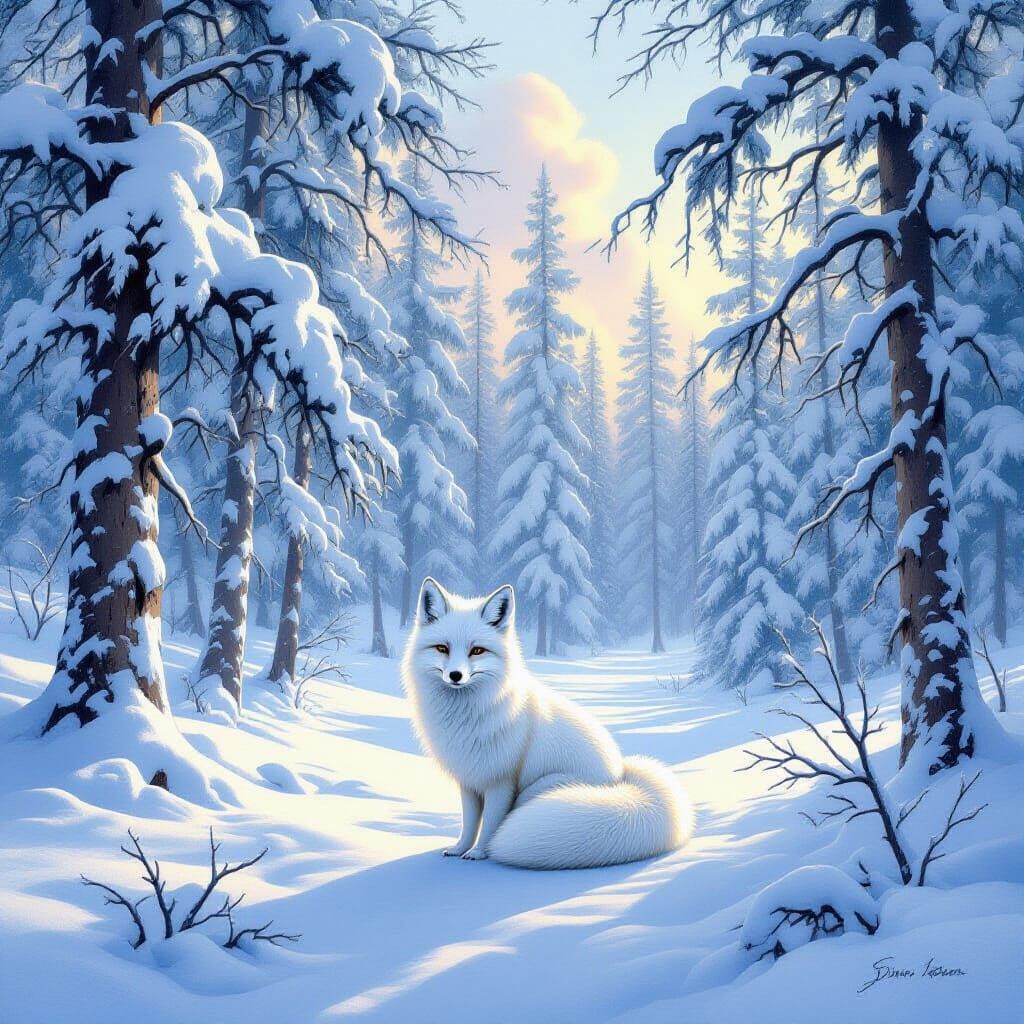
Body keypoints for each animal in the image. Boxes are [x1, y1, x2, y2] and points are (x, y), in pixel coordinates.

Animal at [401, 577, 693, 869]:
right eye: (442, 648)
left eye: (477, 651)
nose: (456, 675)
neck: (465, 716)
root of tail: (621, 773)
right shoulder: (470, 779)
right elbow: (470, 823)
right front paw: (460, 848)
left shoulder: (501, 781)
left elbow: (491, 824)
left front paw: (481, 852)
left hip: (540, 789)